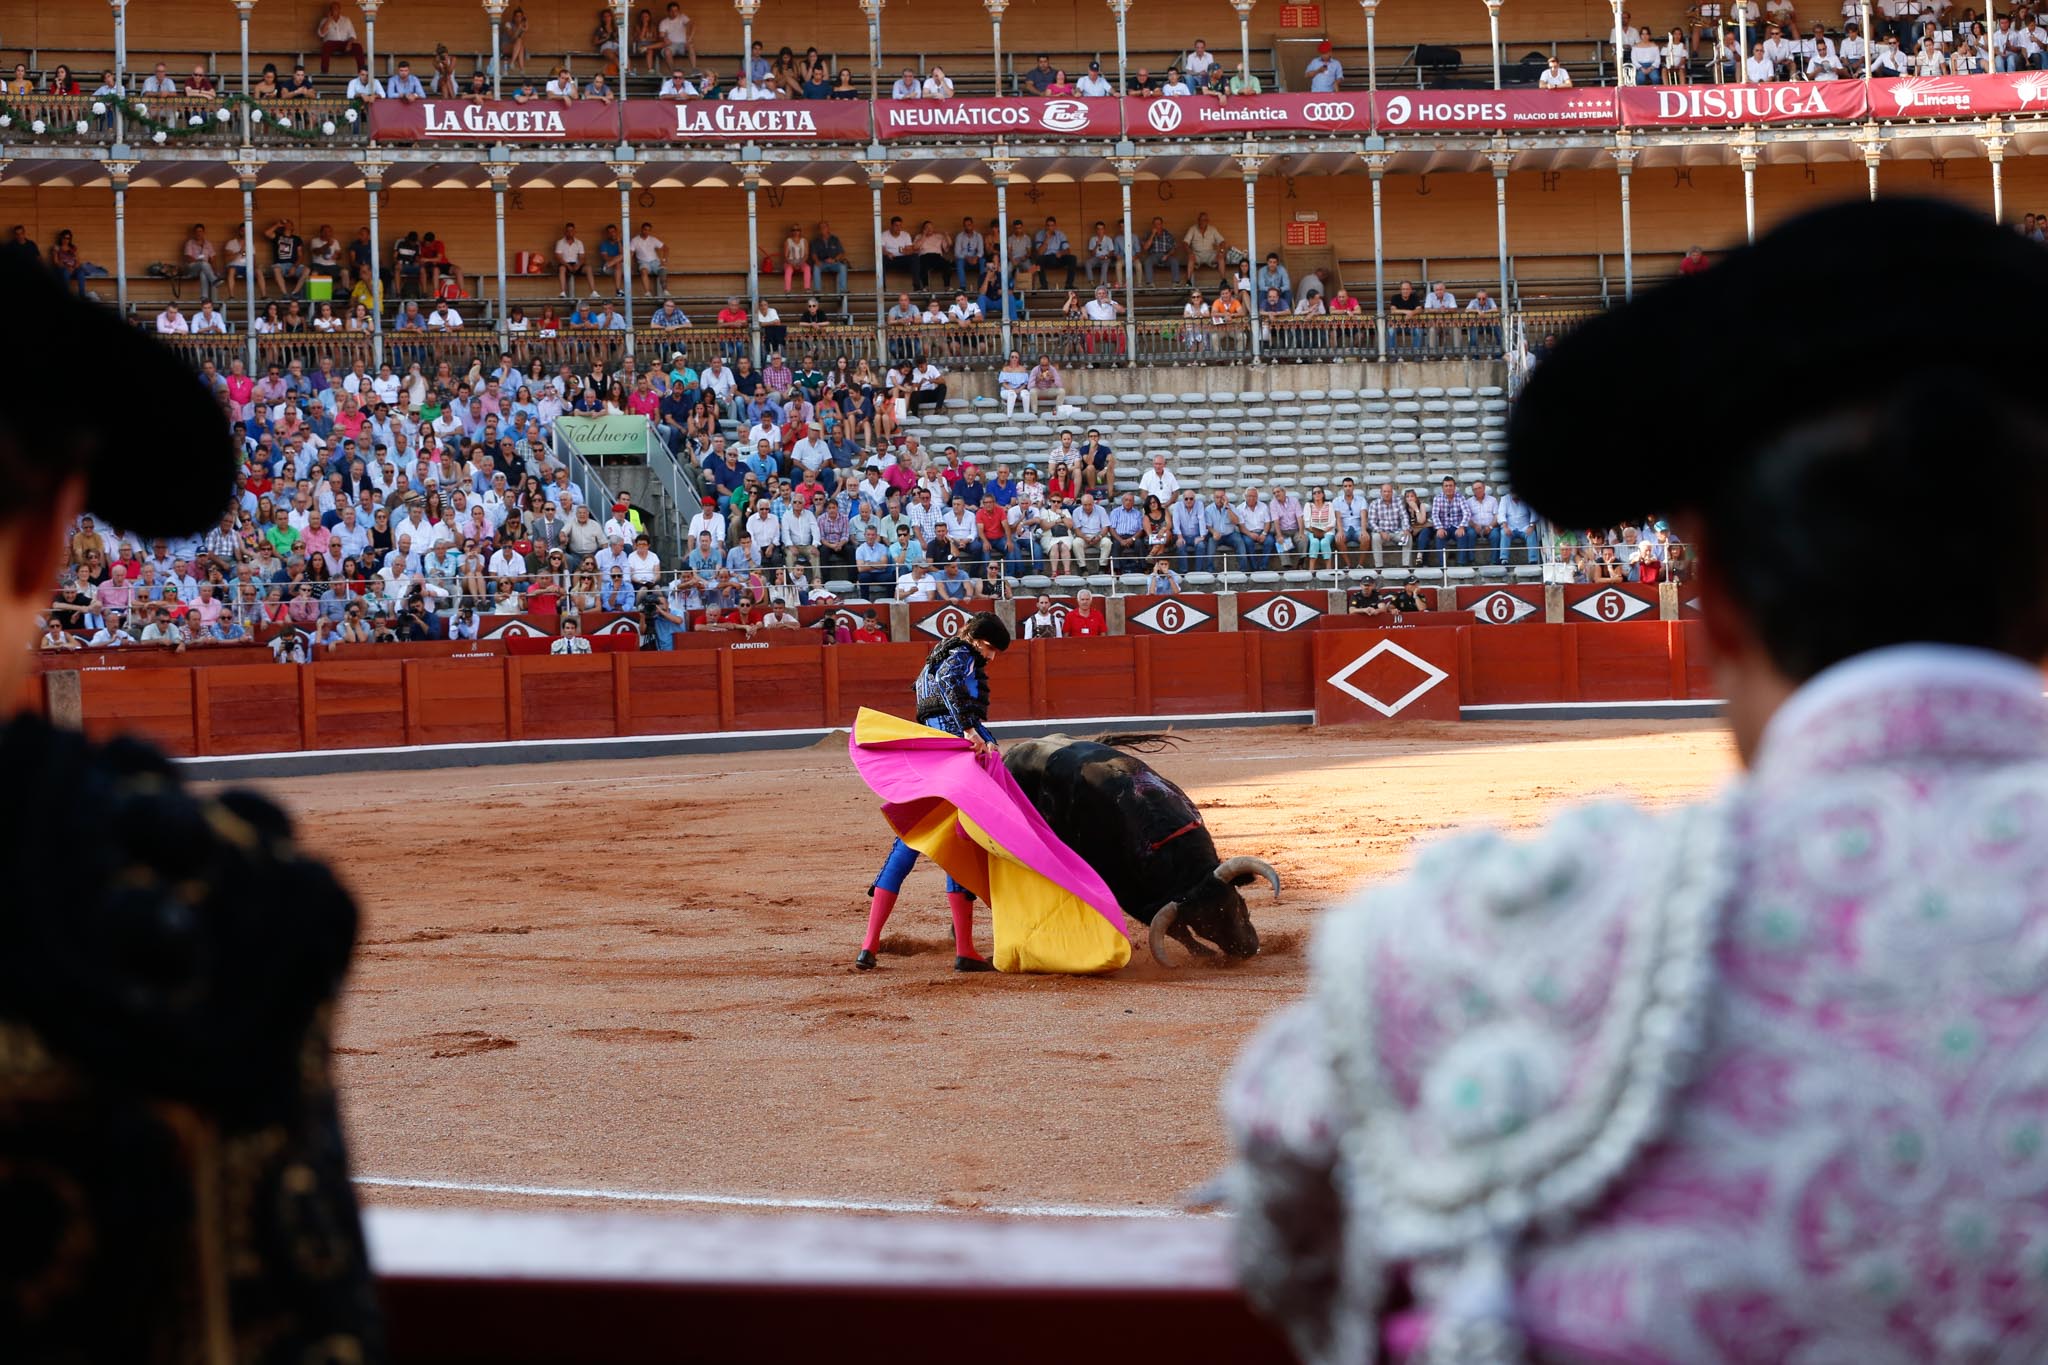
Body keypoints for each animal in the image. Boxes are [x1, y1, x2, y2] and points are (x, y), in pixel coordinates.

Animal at [1003, 732, 1277, 965]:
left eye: (1239, 903)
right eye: (1202, 926)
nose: (1247, 949)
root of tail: (1011, 753)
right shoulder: (1131, 895)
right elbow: (1175, 929)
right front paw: (1205, 955)